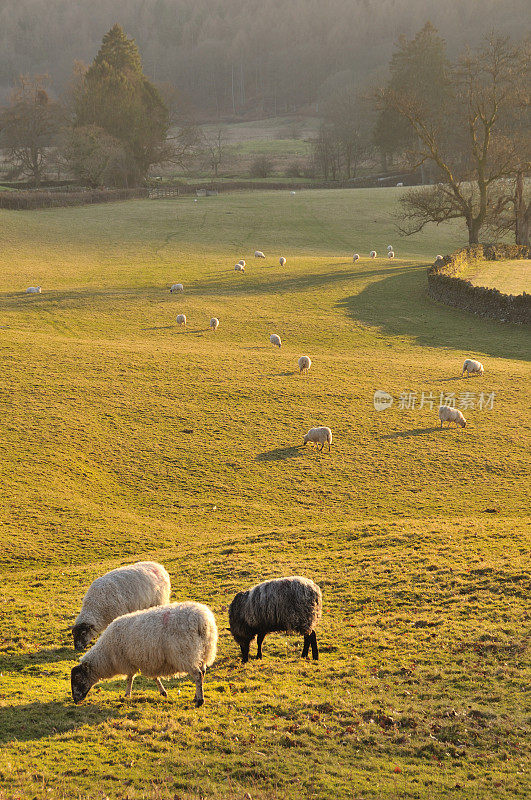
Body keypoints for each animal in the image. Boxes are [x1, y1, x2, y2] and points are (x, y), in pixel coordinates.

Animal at [71, 600, 218, 708]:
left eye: (77, 678)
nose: (75, 700)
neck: (106, 654)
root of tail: (202, 621)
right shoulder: (149, 660)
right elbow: (154, 677)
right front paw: (162, 692)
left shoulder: (129, 661)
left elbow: (130, 678)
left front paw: (127, 694)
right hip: (204, 652)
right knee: (202, 672)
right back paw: (196, 696)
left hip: (185, 654)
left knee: (198, 675)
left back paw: (200, 701)